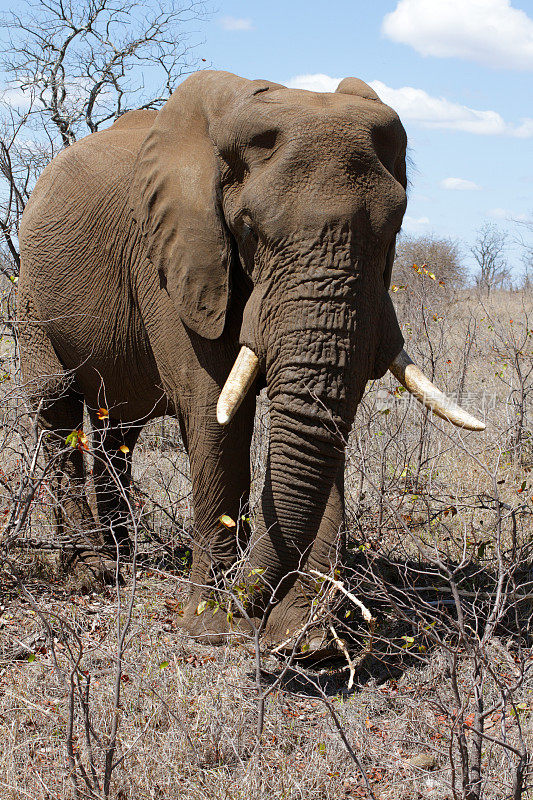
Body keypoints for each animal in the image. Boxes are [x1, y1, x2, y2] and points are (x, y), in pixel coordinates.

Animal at [16, 69, 484, 644]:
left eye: (393, 229)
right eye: (250, 230)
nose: (254, 609)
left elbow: (325, 417)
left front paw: (306, 639)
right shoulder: (173, 257)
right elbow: (215, 409)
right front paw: (213, 626)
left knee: (118, 428)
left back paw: (123, 558)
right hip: (31, 295)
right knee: (56, 405)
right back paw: (93, 572)